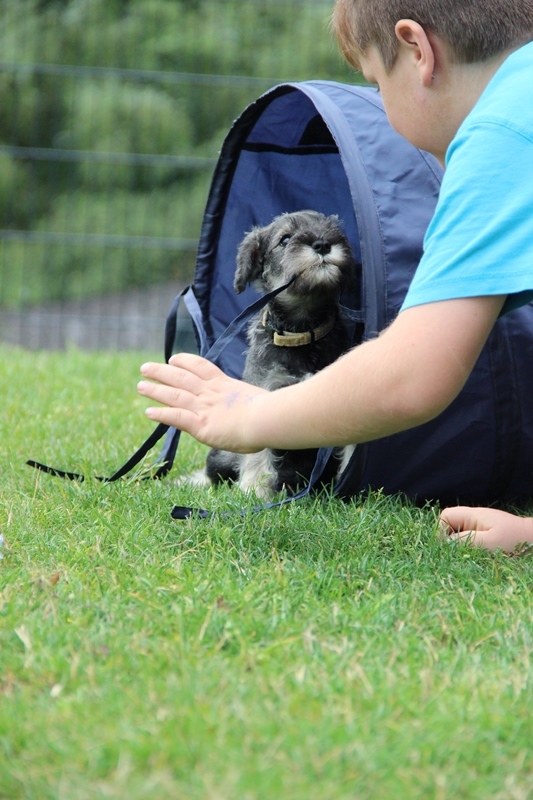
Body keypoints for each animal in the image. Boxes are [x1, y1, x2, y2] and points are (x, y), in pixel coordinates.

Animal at [197, 209, 356, 496]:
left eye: (333, 230)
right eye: (285, 239)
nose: (322, 244)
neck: (303, 330)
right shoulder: (266, 392)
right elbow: (258, 451)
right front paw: (254, 490)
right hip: (222, 455)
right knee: (212, 473)